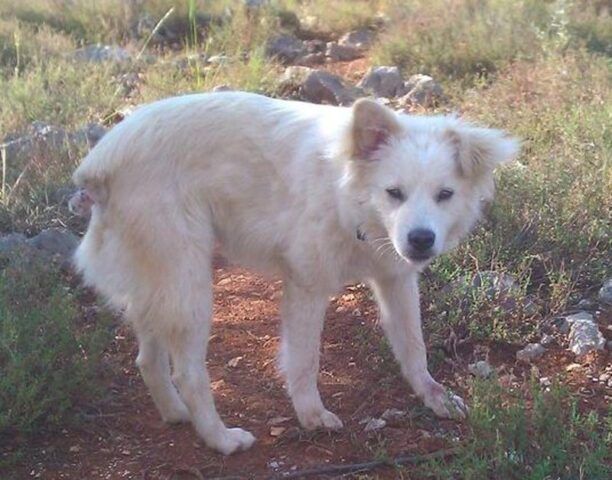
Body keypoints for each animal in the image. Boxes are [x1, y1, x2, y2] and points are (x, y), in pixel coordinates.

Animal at [71, 92, 519, 455]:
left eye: (445, 195)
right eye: (394, 193)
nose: (421, 240)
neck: (348, 194)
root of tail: (100, 160)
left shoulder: (396, 279)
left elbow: (414, 347)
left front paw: (433, 395)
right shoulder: (306, 286)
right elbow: (304, 361)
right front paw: (312, 416)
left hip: (159, 285)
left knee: (148, 359)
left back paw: (176, 413)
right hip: (189, 286)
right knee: (189, 372)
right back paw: (221, 439)